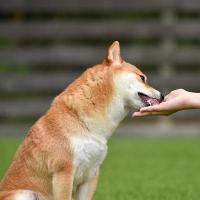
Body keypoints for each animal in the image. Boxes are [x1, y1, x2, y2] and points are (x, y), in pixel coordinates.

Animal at [0, 41, 162, 199]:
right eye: (142, 78)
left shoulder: (91, 175)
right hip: (24, 193)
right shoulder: (64, 172)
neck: (80, 119)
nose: (162, 95)